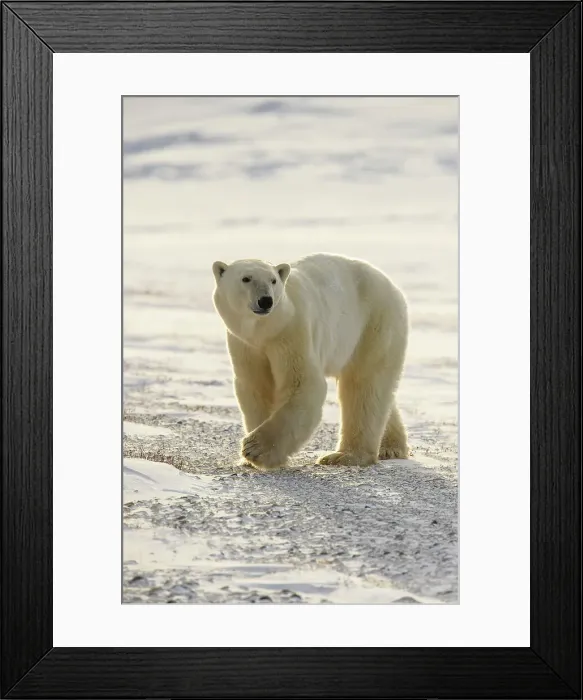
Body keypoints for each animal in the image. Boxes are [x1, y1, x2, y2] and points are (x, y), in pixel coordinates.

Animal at [212, 253, 409, 469]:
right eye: (246, 278)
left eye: (273, 280)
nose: (265, 301)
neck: (266, 331)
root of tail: (393, 287)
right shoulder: (245, 345)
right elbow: (256, 387)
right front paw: (249, 458)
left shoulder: (292, 333)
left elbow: (303, 384)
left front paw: (255, 449)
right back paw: (391, 447)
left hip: (374, 325)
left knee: (364, 386)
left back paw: (344, 456)